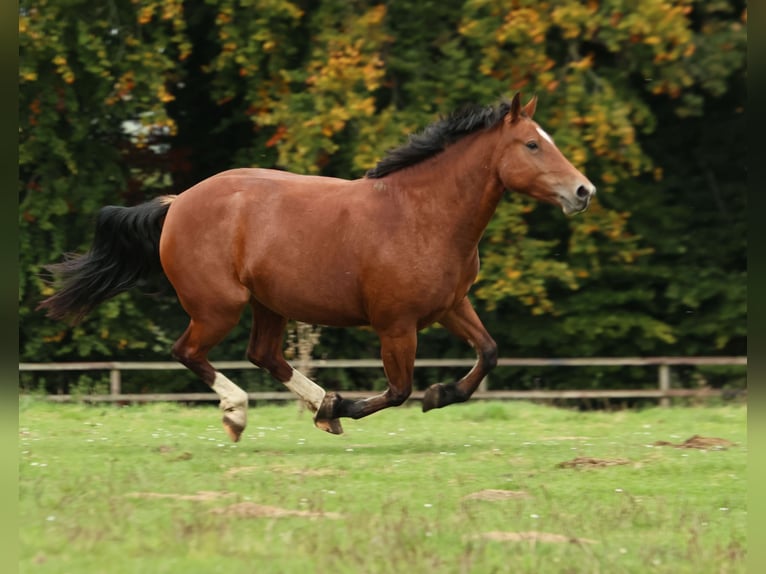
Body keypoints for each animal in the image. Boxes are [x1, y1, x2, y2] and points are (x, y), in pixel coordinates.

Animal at [39, 93, 596, 442]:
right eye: (532, 144)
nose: (583, 191)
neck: (423, 214)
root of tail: (178, 203)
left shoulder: (451, 306)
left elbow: (489, 354)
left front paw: (439, 394)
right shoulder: (396, 325)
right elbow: (398, 390)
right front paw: (352, 404)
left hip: (268, 304)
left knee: (264, 354)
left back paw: (320, 405)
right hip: (219, 306)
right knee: (189, 352)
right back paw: (243, 413)